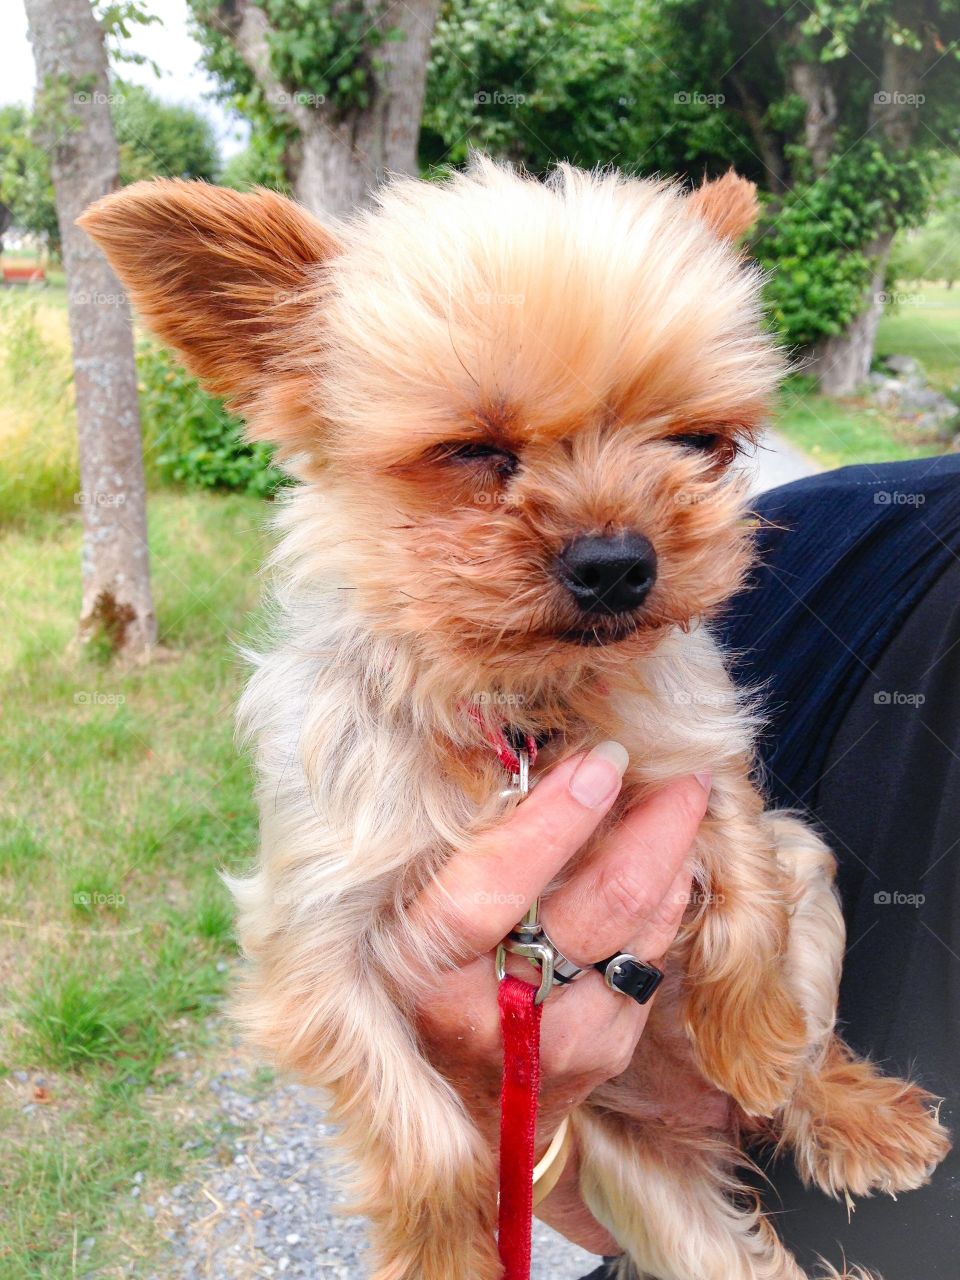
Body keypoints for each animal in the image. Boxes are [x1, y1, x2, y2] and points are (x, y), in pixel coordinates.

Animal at [79, 162, 952, 1280]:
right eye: (470, 450)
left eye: (695, 441)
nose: (620, 561)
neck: (527, 715)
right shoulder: (312, 948)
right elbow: (426, 1140)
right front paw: (445, 1251)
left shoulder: (702, 776)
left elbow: (753, 912)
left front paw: (757, 1047)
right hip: (653, 1191)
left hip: (808, 882)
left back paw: (847, 1112)